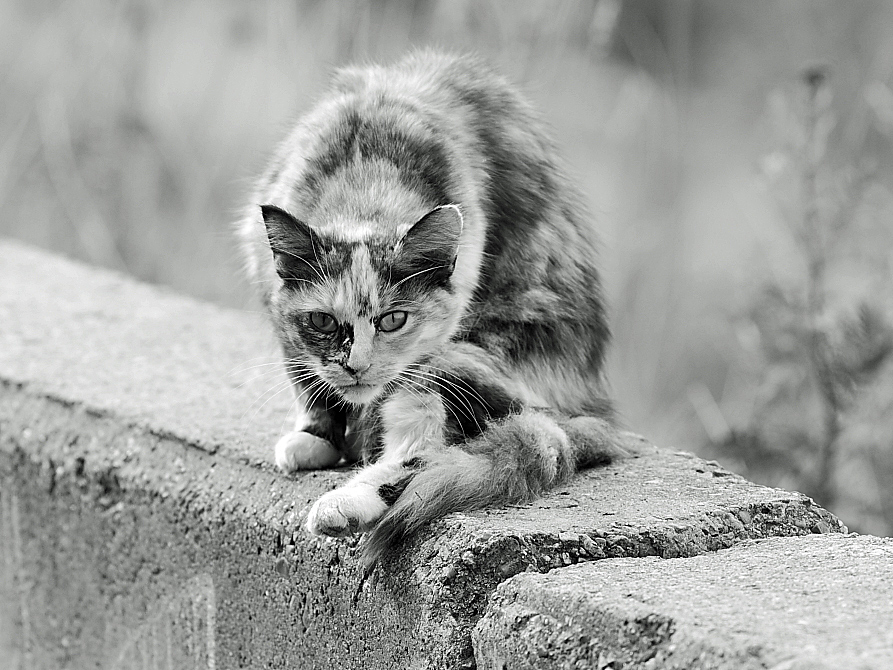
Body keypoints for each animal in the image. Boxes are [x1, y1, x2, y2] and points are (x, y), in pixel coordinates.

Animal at [240, 50, 624, 568]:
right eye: (321, 320)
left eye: (393, 319)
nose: (357, 366)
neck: (365, 175)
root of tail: (589, 407)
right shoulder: (276, 302)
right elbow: (308, 382)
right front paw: (317, 436)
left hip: (466, 356)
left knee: (420, 452)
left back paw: (343, 506)